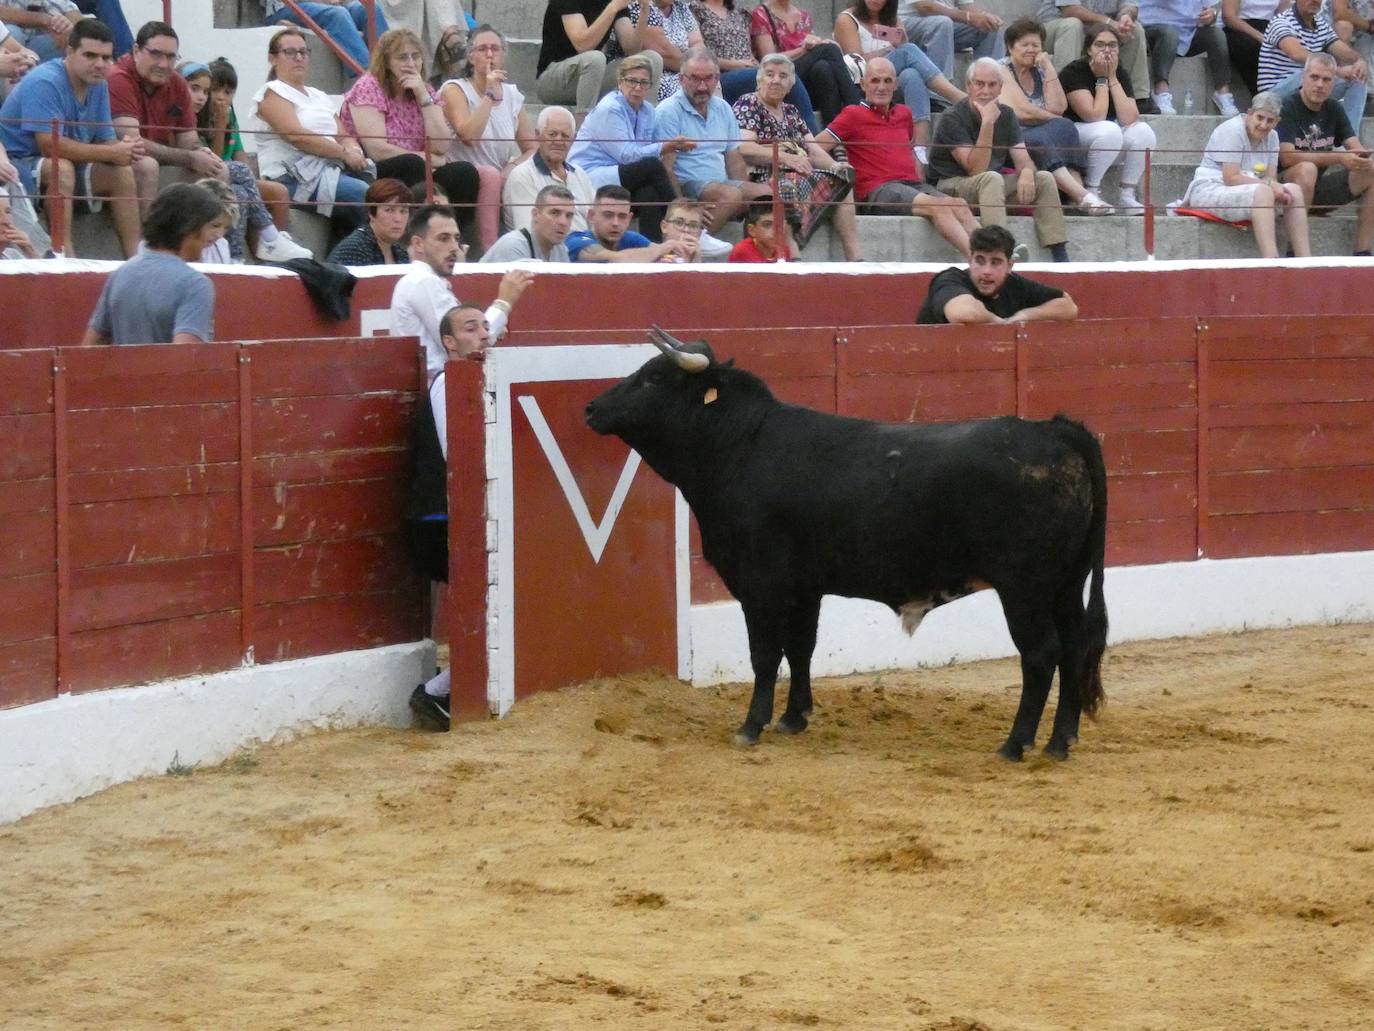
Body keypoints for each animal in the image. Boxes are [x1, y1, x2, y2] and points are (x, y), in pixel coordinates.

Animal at [585, 327, 1110, 764]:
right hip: (1065, 584)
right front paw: (794, 718)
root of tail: (1056, 429)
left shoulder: (761, 585)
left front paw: (751, 726)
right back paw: (1060, 742)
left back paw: (1015, 744)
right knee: (1074, 646)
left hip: (1025, 588)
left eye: (653, 378)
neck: (740, 445)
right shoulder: (804, 587)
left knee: (1040, 654)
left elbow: (764, 654)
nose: (591, 408)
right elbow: (801, 648)